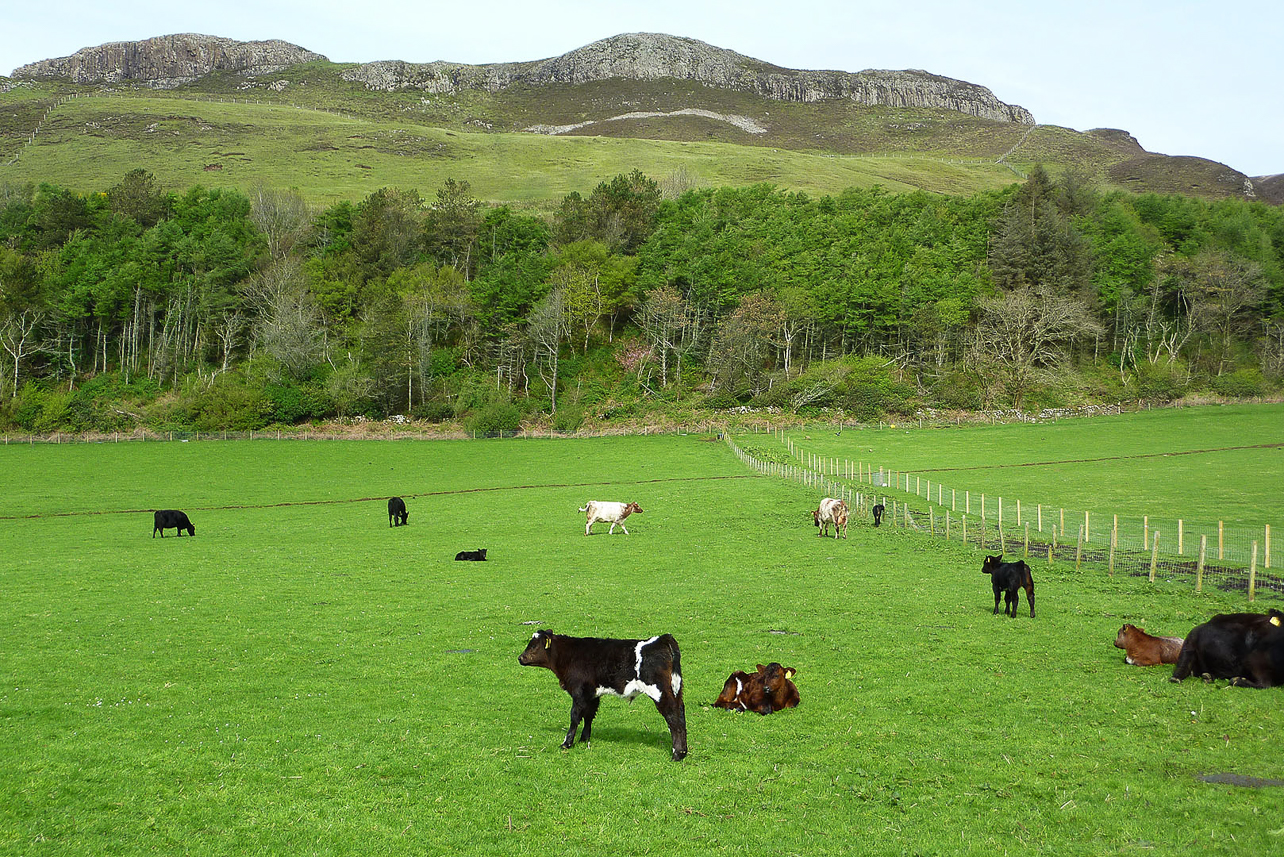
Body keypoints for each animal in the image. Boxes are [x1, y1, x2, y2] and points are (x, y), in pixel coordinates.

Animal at [516, 627, 688, 760]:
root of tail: (662, 639)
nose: (520, 658)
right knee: (680, 713)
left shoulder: (579, 692)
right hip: (676, 689)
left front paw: (567, 743)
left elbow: (575, 716)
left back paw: (677, 755)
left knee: (673, 717)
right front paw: (584, 739)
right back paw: (684, 752)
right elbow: (589, 715)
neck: (570, 655)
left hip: (659, 691)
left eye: (533, 646)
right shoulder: (592, 693)